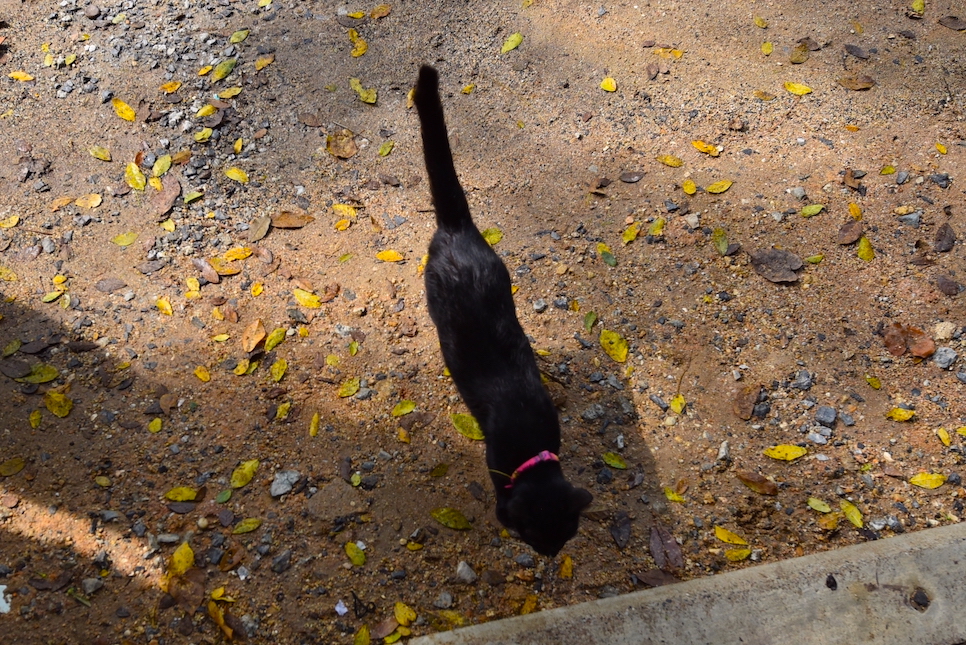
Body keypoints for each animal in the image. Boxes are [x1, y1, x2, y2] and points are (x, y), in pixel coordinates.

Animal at [412, 66, 592, 560]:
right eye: (537, 538)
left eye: (564, 536)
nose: (550, 556)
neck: (531, 441)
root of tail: (458, 228)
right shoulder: (495, 463)